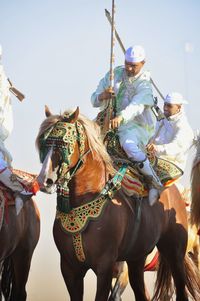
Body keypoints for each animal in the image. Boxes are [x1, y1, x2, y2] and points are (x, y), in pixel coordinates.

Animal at [36, 107, 200, 300]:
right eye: (43, 144)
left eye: (63, 144)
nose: (44, 180)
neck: (84, 200)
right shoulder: (70, 269)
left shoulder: (105, 266)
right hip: (137, 259)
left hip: (175, 254)